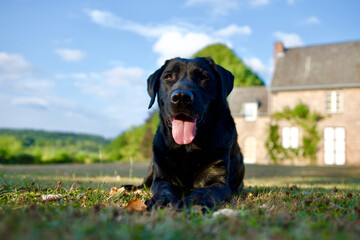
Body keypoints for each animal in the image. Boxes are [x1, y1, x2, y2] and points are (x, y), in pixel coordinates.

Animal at [138, 56, 245, 210]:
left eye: (204, 77)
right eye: (168, 76)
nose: (181, 97)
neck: (187, 149)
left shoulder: (218, 181)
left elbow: (204, 191)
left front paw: (193, 202)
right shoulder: (162, 177)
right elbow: (162, 188)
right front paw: (162, 200)